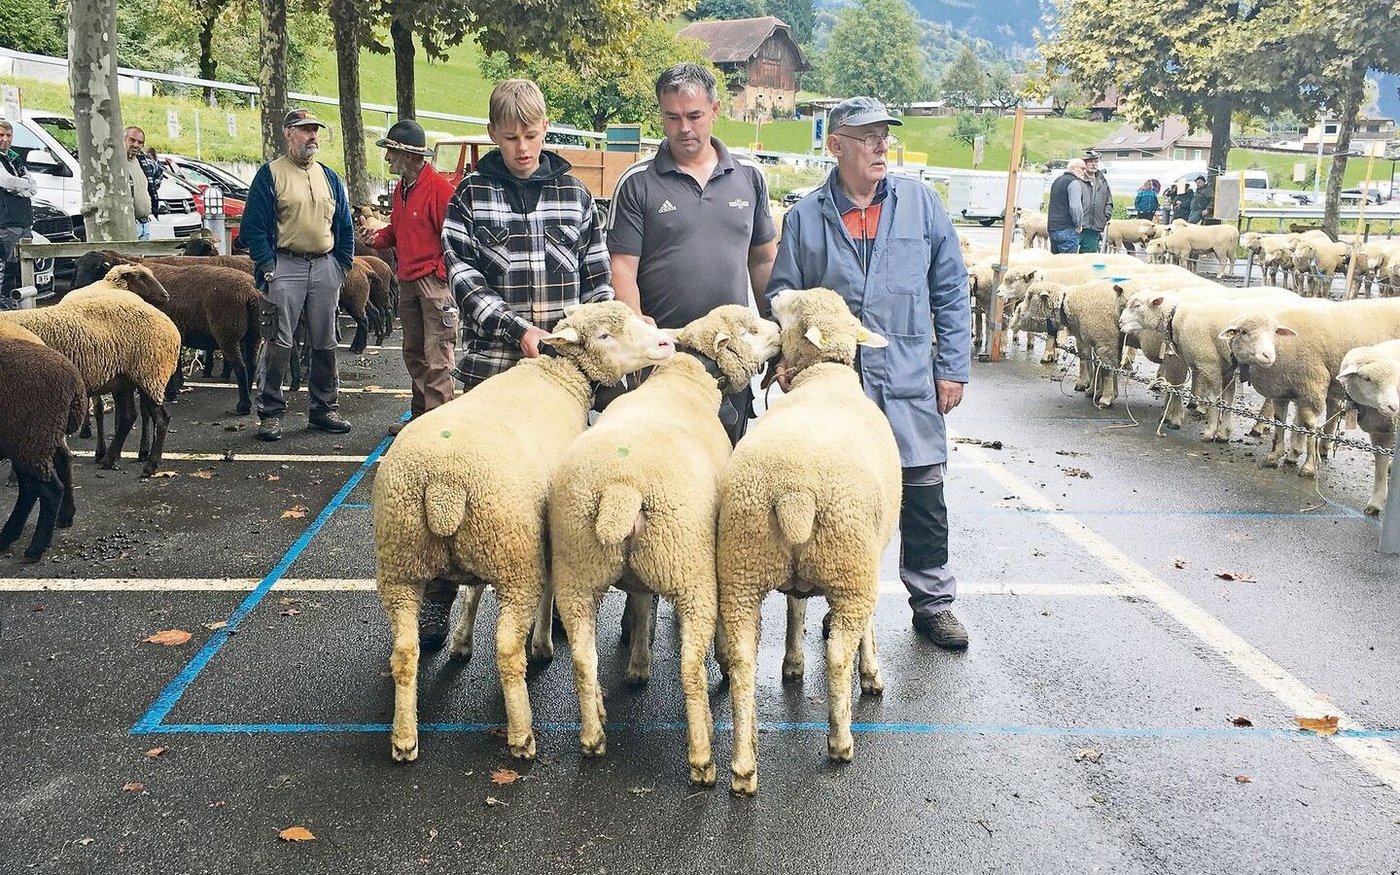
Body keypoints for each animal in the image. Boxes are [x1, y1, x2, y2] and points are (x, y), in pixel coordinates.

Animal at [0, 338, 87, 562]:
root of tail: (75, 382)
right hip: (34, 440)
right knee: (58, 466)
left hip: (32, 439)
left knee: (49, 490)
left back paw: (36, 547)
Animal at [1, 265, 181, 477]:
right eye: (140, 277)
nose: (165, 295)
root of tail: (171, 326)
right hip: (125, 379)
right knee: (129, 416)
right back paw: (109, 459)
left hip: (150, 374)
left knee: (160, 419)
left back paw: (149, 465)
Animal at [372, 301, 676, 764]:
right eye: (604, 335)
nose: (665, 342)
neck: (561, 375)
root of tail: (443, 484)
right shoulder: (543, 530)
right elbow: (546, 586)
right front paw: (543, 642)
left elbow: (473, 590)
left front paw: (461, 641)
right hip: (511, 557)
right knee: (506, 651)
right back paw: (522, 735)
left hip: (404, 561)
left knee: (405, 653)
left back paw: (404, 739)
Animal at [548, 305, 781, 787]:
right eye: (751, 329)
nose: (781, 330)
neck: (686, 381)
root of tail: (620, 490)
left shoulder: (638, 574)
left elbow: (640, 603)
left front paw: (638, 663)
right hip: (688, 568)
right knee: (690, 669)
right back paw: (703, 758)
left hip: (578, 571)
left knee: (582, 657)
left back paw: (594, 735)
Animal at [717, 287, 900, 796]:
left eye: (793, 310)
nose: (777, 293)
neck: (824, 378)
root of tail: (794, 493)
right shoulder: (871, 558)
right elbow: (866, 626)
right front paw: (872, 673)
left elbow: (796, 605)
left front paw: (793, 663)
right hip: (848, 564)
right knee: (837, 655)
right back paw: (840, 741)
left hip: (743, 564)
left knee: (743, 660)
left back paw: (743, 767)